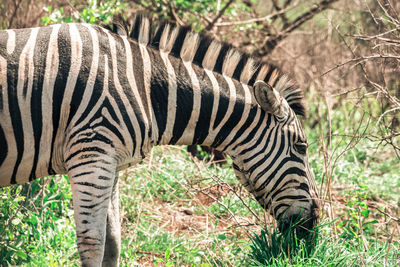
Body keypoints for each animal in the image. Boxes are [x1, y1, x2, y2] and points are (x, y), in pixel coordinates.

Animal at [0, 14, 318, 266]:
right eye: (301, 147)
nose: (314, 225)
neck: (149, 89)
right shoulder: (91, 156)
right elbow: (93, 243)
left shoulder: (110, 163)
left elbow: (113, 242)